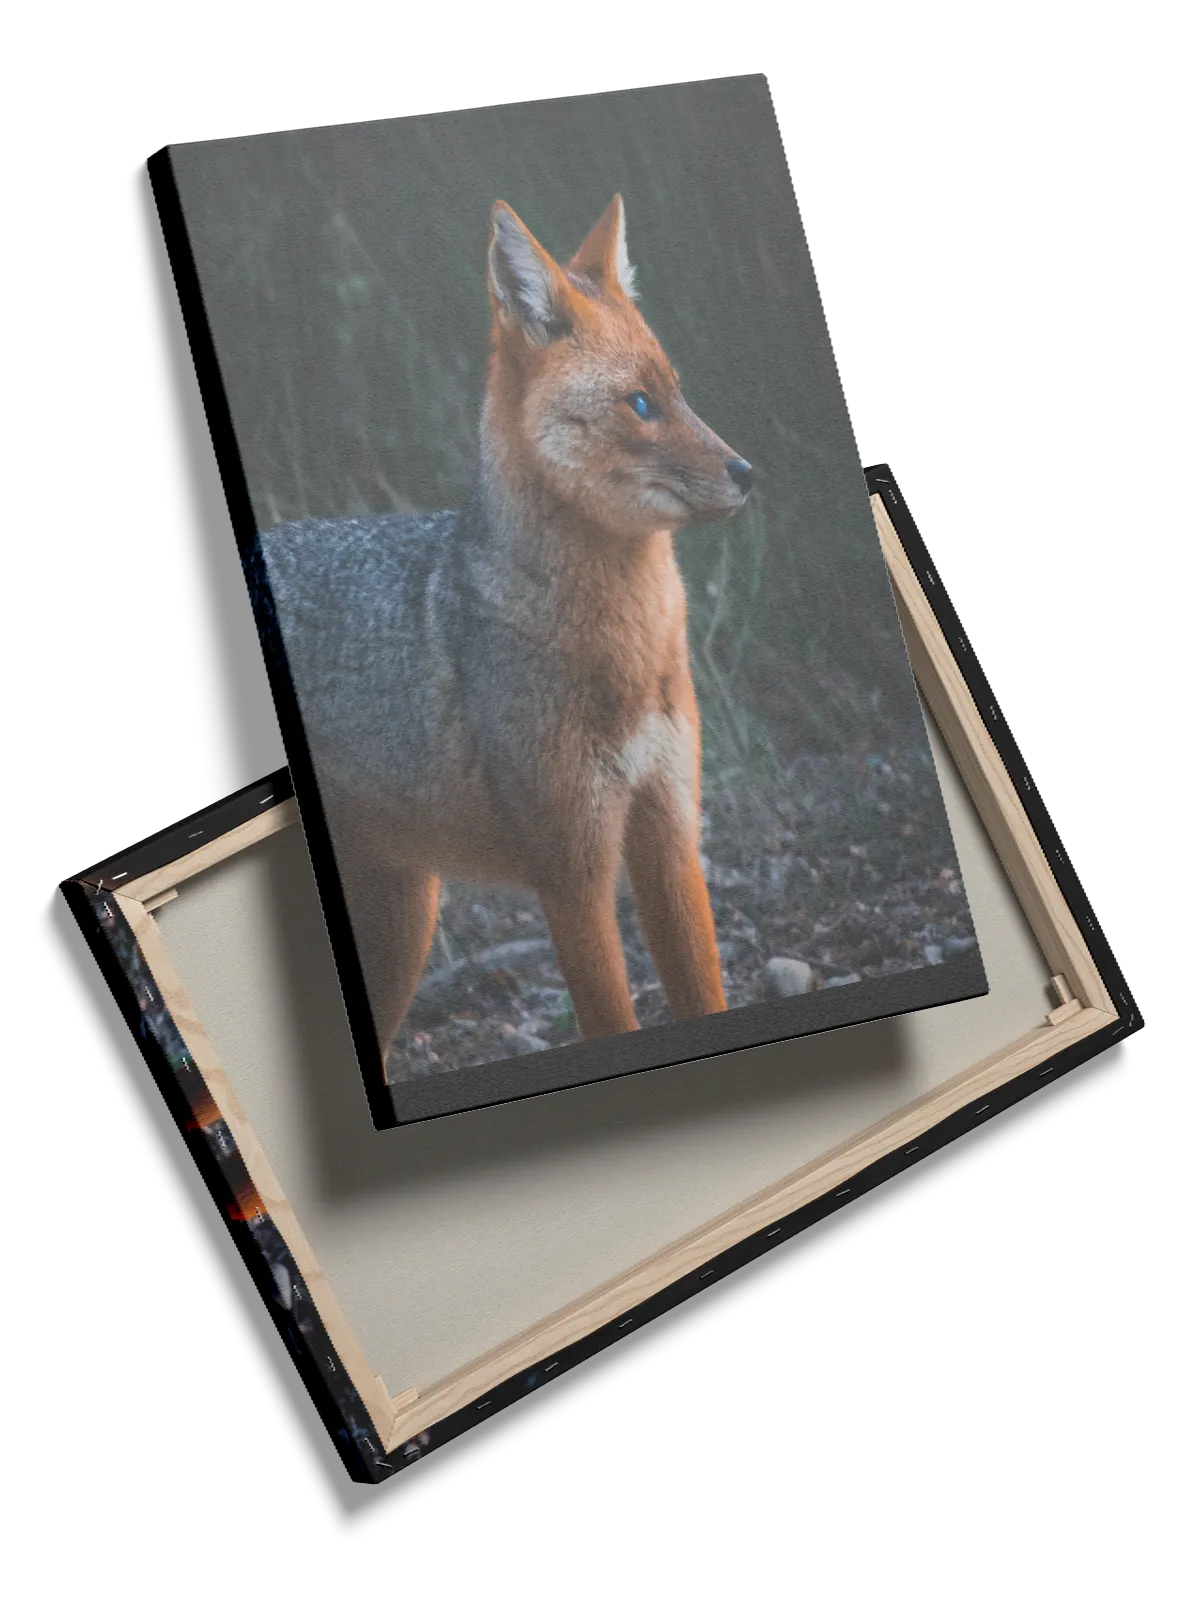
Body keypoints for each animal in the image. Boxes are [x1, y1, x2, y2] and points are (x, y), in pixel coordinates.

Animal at [255, 194, 753, 1072]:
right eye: (641, 406)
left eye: (678, 393)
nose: (748, 473)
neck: (623, 652)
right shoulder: (573, 877)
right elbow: (611, 1023)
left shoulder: (669, 844)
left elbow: (705, 996)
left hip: (406, 926)